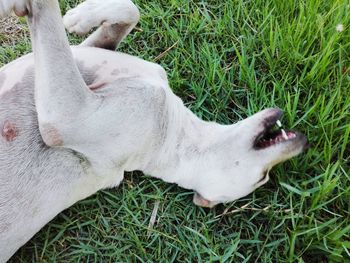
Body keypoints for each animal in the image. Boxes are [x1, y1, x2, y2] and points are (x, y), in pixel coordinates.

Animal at [0, 0, 306, 262]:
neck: (177, 143)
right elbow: (130, 12)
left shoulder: (66, 114)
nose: (304, 142)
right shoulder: (88, 55)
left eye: (261, 179)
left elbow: (49, 12)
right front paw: (83, 15)